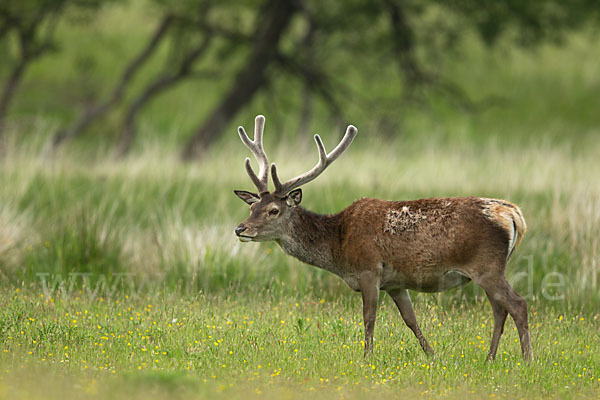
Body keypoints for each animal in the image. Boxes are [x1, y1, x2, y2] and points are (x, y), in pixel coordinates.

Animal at [234, 115, 528, 360]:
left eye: (273, 210)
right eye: (252, 207)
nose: (240, 229)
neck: (338, 246)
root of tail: (514, 214)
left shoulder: (369, 269)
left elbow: (369, 318)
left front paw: (367, 358)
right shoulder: (396, 283)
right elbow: (411, 320)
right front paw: (433, 355)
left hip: (487, 265)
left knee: (518, 304)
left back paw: (527, 360)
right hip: (489, 269)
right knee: (500, 309)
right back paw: (490, 358)